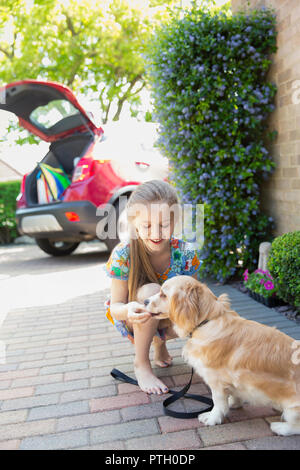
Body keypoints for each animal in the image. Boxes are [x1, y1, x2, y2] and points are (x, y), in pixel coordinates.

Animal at [144, 274, 300, 436]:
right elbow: (235, 393)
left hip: (292, 409)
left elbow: (218, 402)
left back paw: (280, 427)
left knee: (296, 426)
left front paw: (212, 417)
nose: (144, 301)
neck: (207, 321)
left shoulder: (215, 379)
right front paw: (234, 402)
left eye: (163, 294)